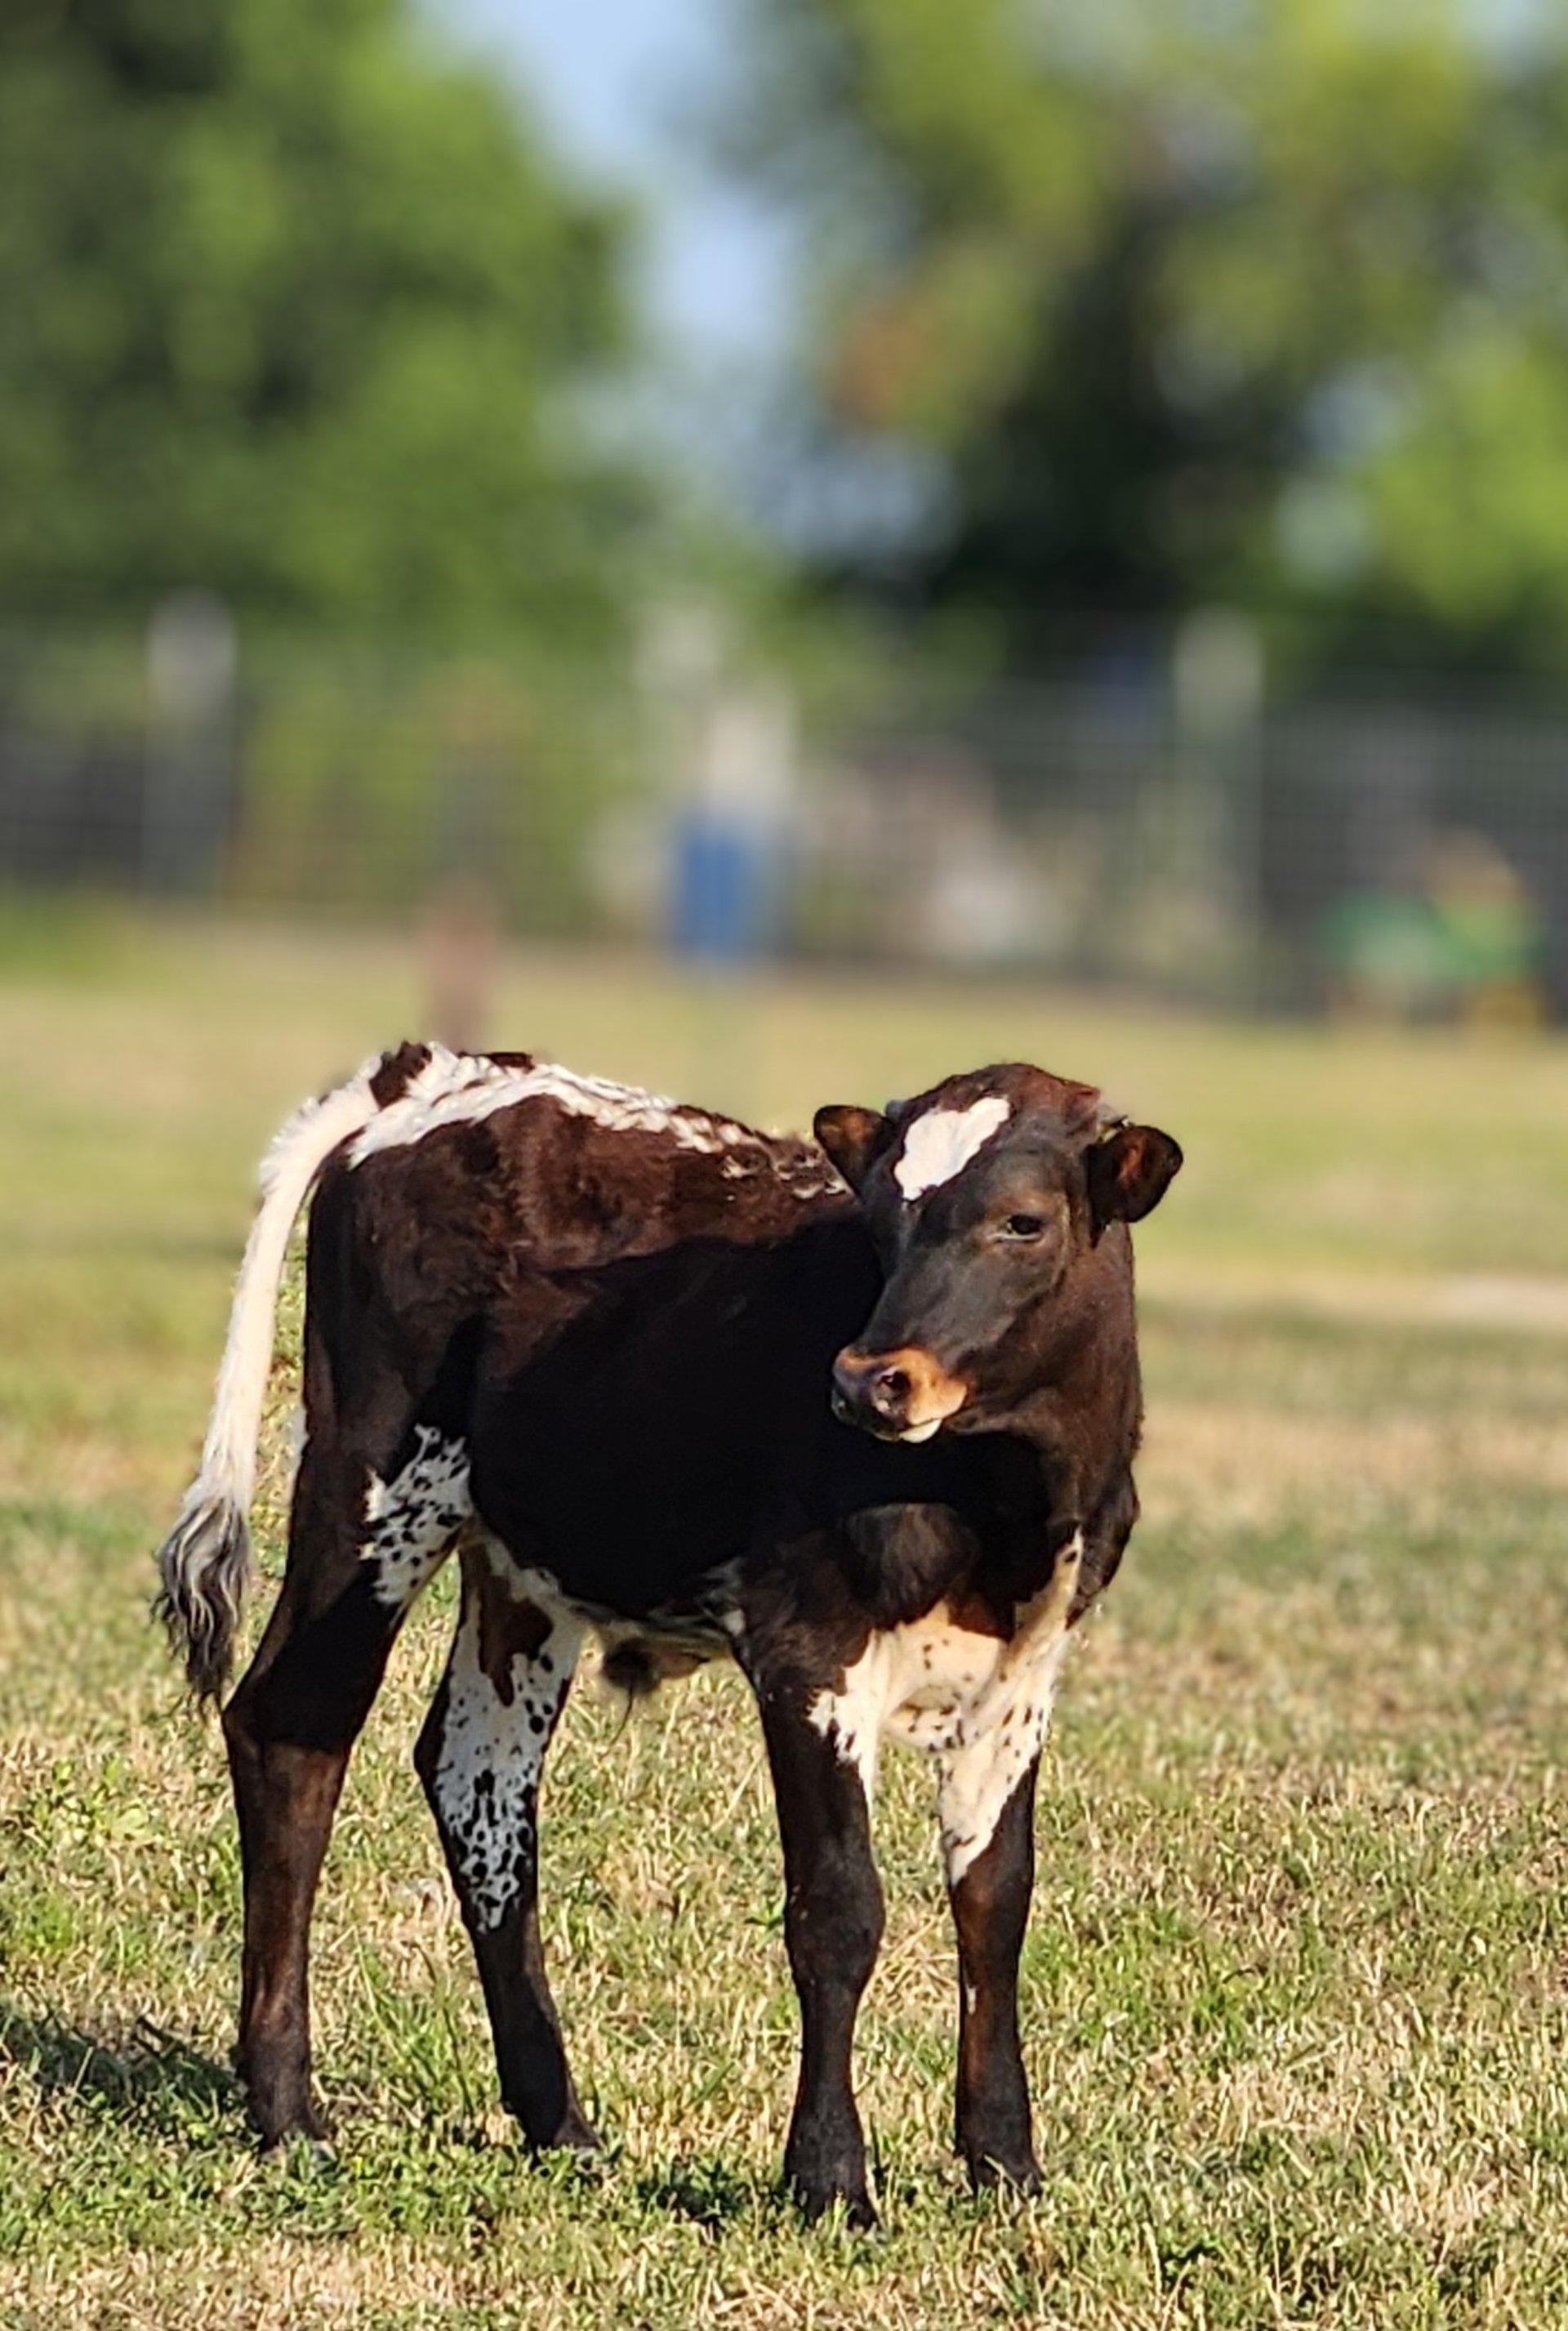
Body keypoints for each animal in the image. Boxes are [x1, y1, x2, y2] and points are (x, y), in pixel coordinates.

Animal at [158, 1044, 1178, 2219]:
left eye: (1023, 1221)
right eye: (880, 1219)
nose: (868, 1379)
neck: (1003, 1500)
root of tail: (438, 1076)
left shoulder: (1023, 1675)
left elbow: (994, 1901)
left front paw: (1006, 2163)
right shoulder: (806, 1650)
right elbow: (838, 1909)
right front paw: (829, 2177)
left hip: (519, 1563)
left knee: (478, 1783)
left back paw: (556, 2120)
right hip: (370, 1482)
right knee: (296, 1730)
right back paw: (287, 2107)